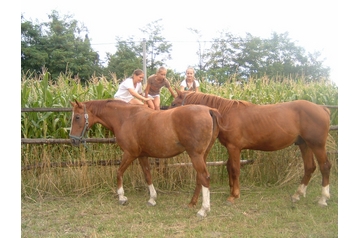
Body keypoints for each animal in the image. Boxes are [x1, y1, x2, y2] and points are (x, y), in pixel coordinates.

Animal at [68, 99, 222, 217]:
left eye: (77, 117)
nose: (73, 140)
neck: (125, 118)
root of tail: (209, 110)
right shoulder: (142, 155)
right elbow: (148, 175)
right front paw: (152, 199)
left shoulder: (130, 153)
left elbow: (119, 172)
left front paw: (122, 197)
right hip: (202, 155)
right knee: (200, 178)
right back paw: (192, 203)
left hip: (195, 155)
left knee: (204, 177)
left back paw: (203, 210)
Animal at [171, 89, 332, 206]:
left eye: (173, 104)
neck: (225, 114)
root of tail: (323, 109)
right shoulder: (232, 148)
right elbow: (229, 167)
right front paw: (232, 190)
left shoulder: (234, 147)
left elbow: (235, 169)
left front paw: (234, 195)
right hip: (304, 144)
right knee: (310, 167)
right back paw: (297, 195)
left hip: (317, 145)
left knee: (325, 166)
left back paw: (323, 198)